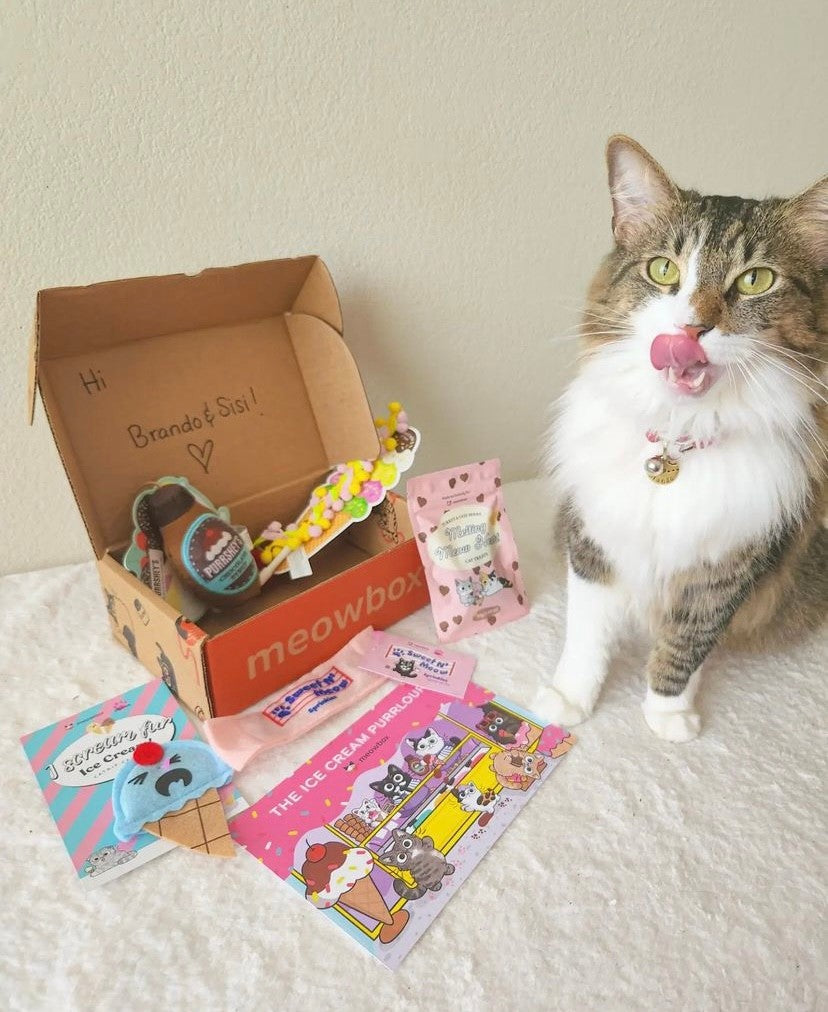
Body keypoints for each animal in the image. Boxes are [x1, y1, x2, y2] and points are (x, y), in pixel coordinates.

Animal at [530, 134, 821, 744]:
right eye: (663, 270)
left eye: (755, 280)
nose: (692, 329)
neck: (676, 443)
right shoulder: (593, 541)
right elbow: (586, 635)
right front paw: (569, 700)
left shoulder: (725, 570)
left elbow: (687, 646)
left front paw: (668, 715)